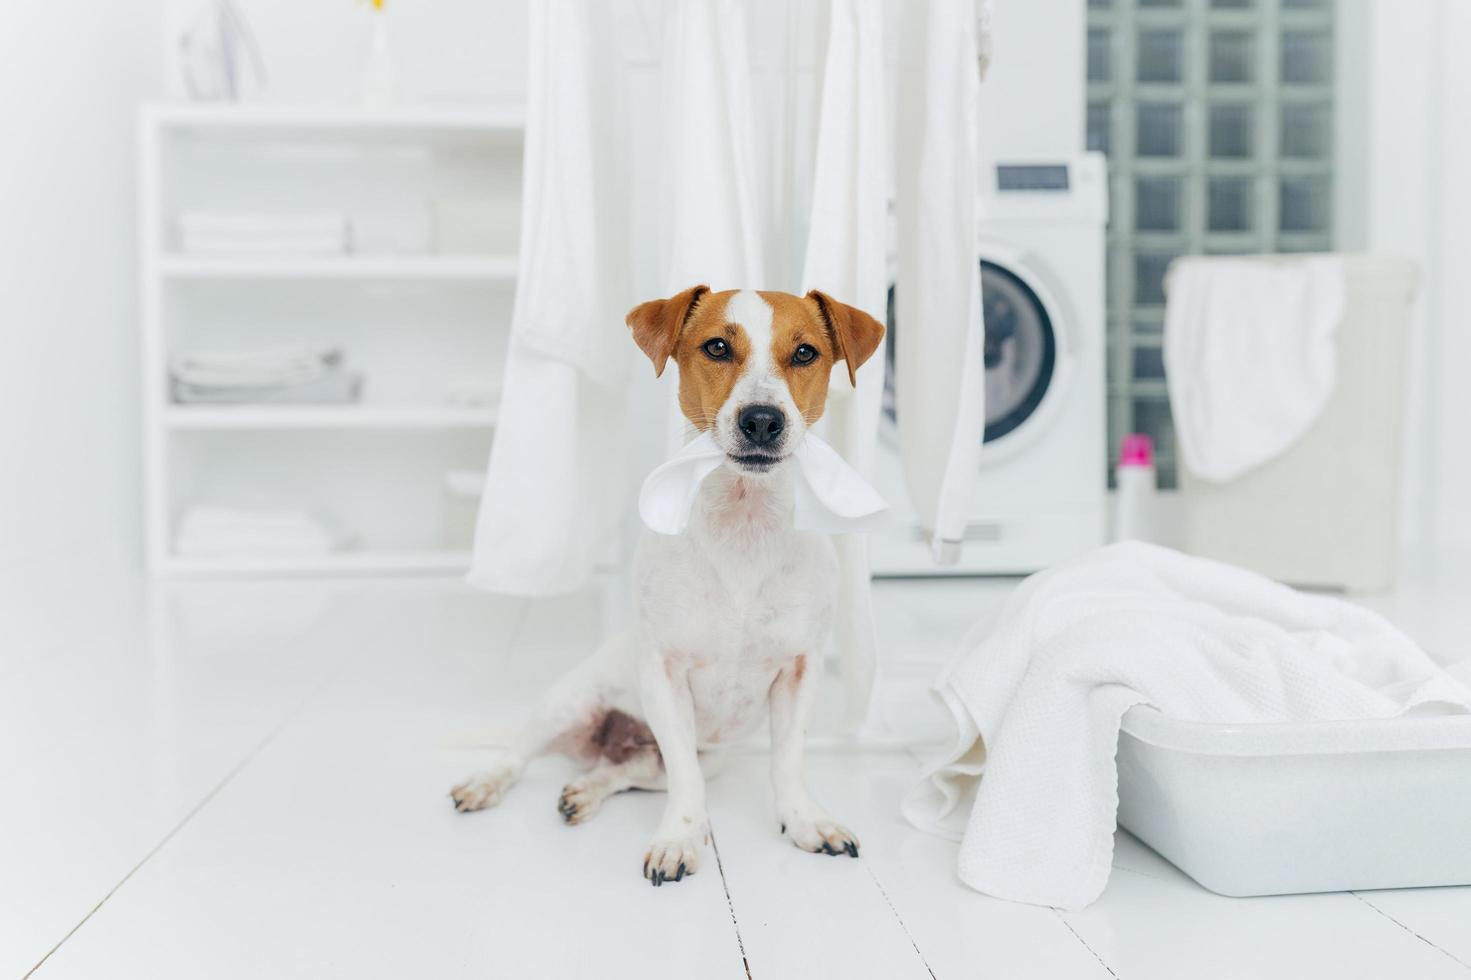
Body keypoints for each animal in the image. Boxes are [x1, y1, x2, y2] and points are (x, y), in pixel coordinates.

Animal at [447, 283, 882, 882]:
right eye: (717, 346)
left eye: (805, 353)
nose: (762, 420)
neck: (744, 522)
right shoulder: (665, 675)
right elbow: (686, 783)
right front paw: (680, 838)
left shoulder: (799, 671)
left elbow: (788, 761)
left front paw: (805, 822)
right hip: (569, 703)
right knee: (518, 753)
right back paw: (485, 783)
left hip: (704, 753)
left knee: (625, 770)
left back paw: (584, 790)